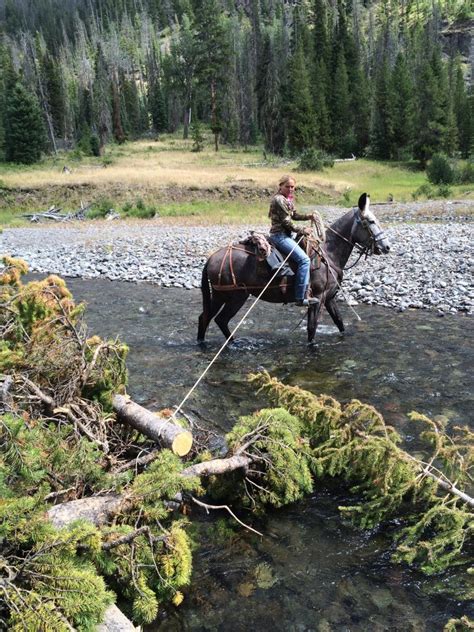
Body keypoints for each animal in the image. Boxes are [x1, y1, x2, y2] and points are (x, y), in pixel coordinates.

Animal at [198, 193, 390, 344]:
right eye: (370, 221)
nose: (386, 247)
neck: (328, 253)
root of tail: (211, 259)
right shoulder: (318, 298)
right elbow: (311, 330)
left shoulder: (329, 298)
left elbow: (340, 323)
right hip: (234, 297)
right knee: (219, 319)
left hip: (220, 296)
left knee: (207, 318)